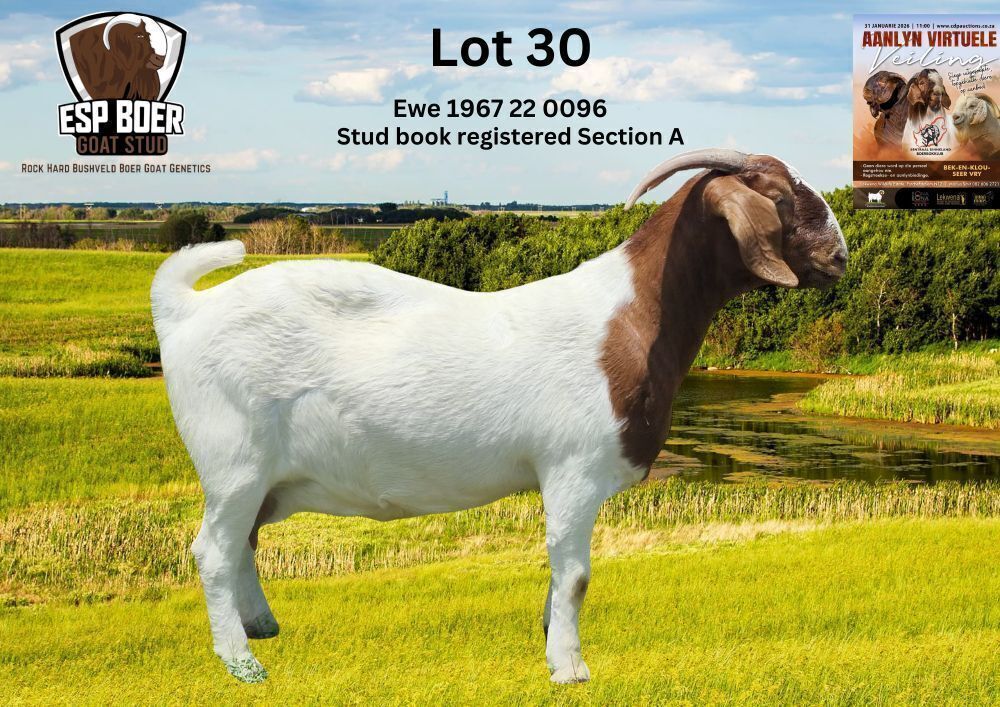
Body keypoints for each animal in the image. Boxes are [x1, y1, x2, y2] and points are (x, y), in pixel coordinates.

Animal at [151, 149, 848, 684]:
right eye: (780, 196)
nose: (840, 258)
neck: (629, 320)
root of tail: (183, 311)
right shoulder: (573, 471)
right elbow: (575, 574)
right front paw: (569, 668)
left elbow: (562, 574)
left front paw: (548, 634)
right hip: (234, 461)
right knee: (213, 549)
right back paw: (243, 663)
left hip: (259, 478)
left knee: (243, 543)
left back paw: (260, 627)